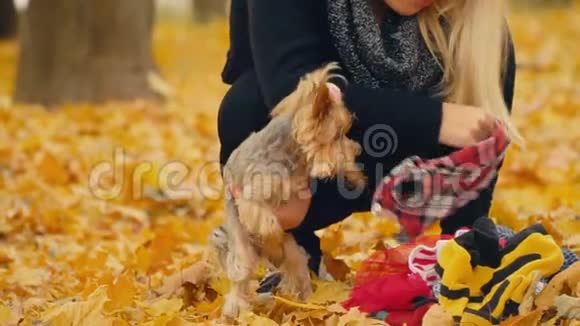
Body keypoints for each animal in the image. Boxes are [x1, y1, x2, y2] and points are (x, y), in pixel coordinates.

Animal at [208, 62, 364, 318]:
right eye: (339, 133)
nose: (357, 149)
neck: (291, 156)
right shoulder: (250, 200)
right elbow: (268, 223)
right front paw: (272, 240)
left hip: (294, 253)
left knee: (297, 270)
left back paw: (308, 302)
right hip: (242, 249)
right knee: (242, 277)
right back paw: (235, 311)